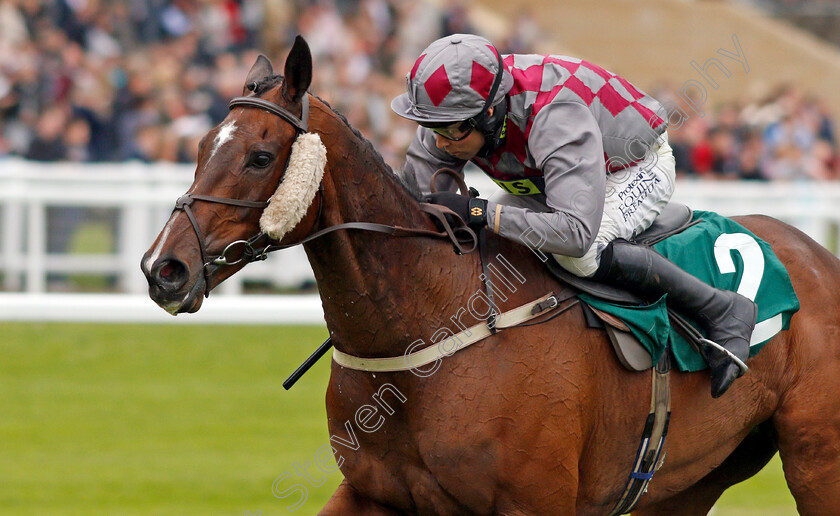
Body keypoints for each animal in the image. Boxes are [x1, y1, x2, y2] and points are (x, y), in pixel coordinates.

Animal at [141, 38, 840, 512]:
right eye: (201, 146)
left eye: (260, 157)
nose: (163, 269)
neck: (420, 333)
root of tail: (817, 255)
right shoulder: (371, 492)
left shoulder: (535, 502)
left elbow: (580, 234)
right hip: (689, 478)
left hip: (816, 458)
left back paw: (731, 320)